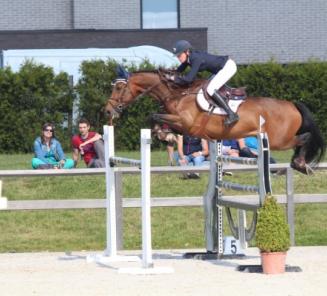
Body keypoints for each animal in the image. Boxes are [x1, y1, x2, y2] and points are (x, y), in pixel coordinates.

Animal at [105, 66, 326, 175]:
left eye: (119, 88)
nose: (108, 111)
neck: (178, 94)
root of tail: (292, 105)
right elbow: (158, 119)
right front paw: (165, 136)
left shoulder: (186, 123)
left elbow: (152, 116)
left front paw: (163, 135)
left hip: (280, 139)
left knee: (305, 137)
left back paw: (299, 163)